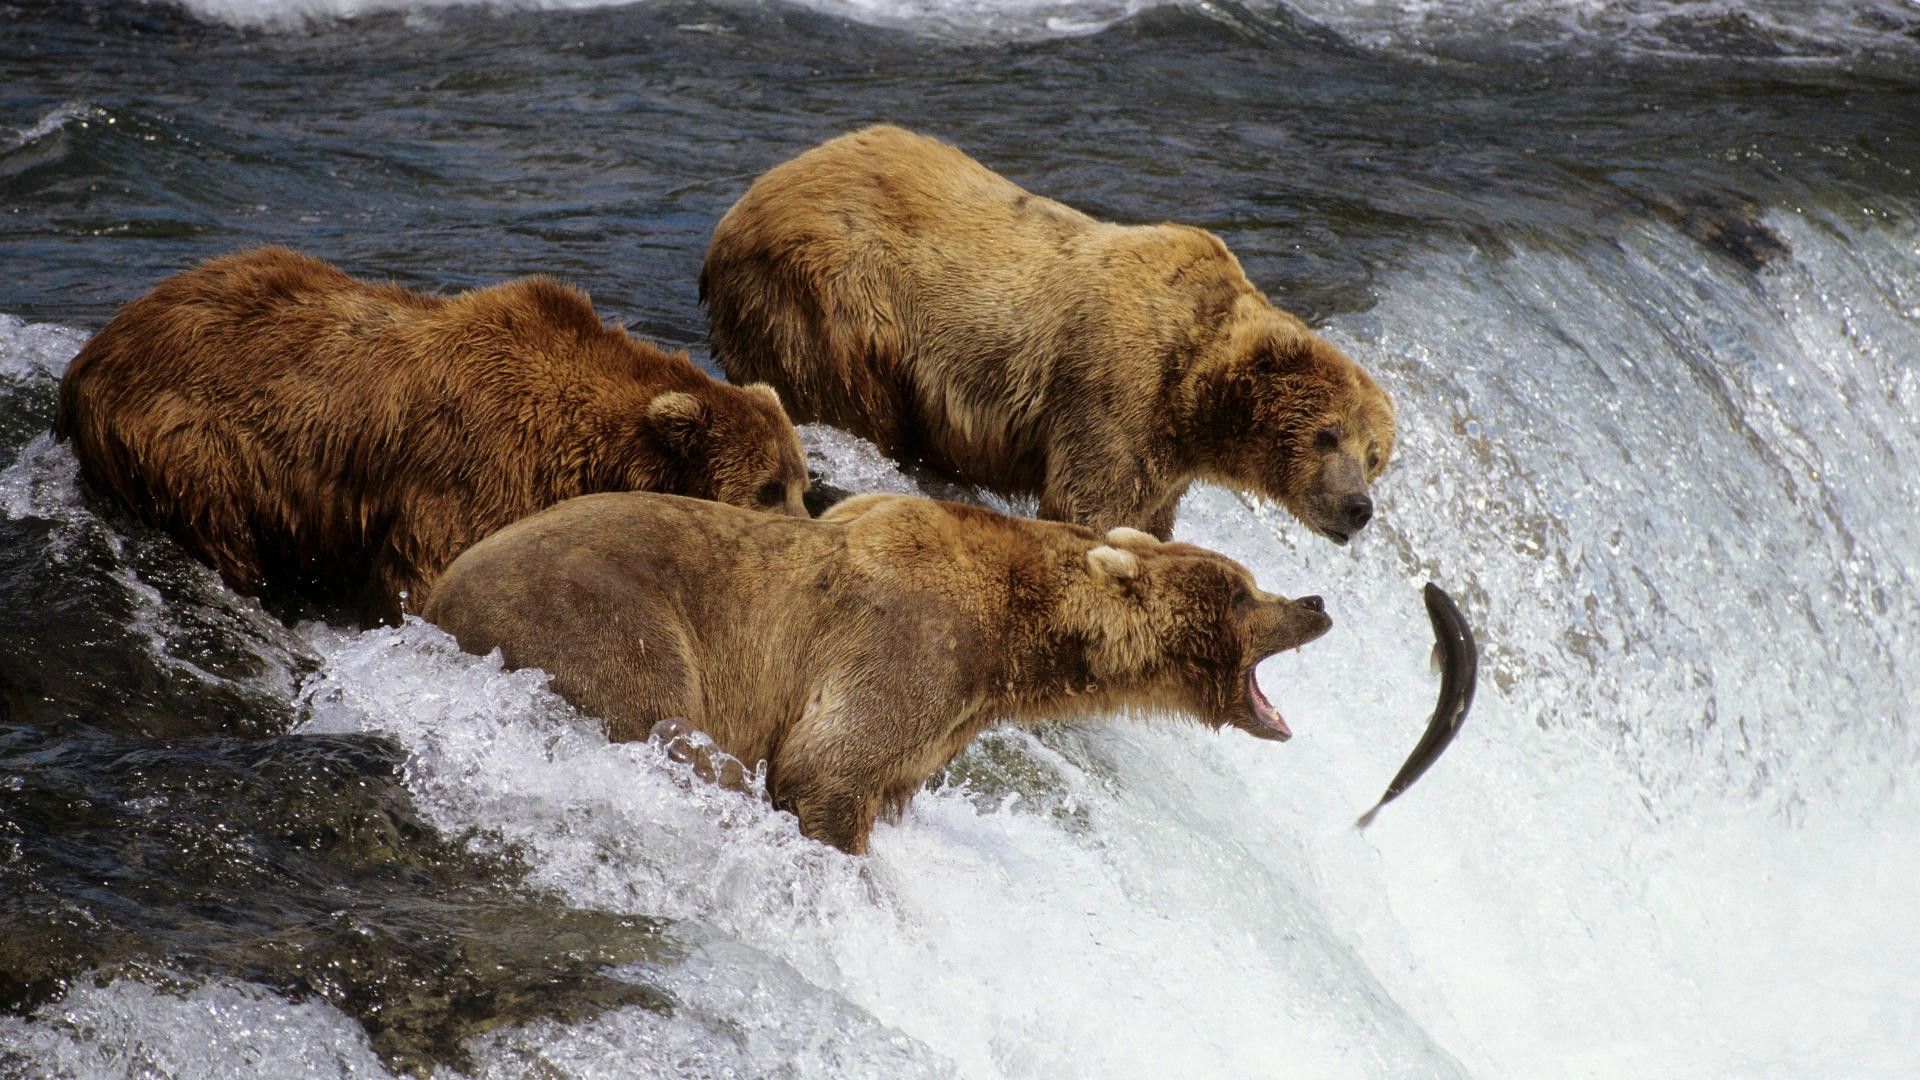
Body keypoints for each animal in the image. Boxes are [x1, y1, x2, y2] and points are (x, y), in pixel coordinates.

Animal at [54, 246, 809, 626]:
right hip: (188, 437)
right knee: (220, 527)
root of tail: (90, 353)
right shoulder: (476, 467)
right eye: (767, 488)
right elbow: (424, 573)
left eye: (802, 483)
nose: (806, 532)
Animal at [424, 490, 1332, 854]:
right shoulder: (911, 643)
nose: (1316, 601)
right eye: (1244, 591)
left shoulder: (949, 714)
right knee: (665, 719)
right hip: (603, 617)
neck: (1018, 638)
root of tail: (434, 596)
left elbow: (887, 777)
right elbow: (828, 764)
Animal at [701, 124, 1397, 543]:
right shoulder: (1116, 390)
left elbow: (1148, 519)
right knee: (850, 398)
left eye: (1375, 456)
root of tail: (741, 206)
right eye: (1327, 434)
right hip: (834, 298)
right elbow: (1090, 506)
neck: (1194, 397)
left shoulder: (1167, 459)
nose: (1358, 508)